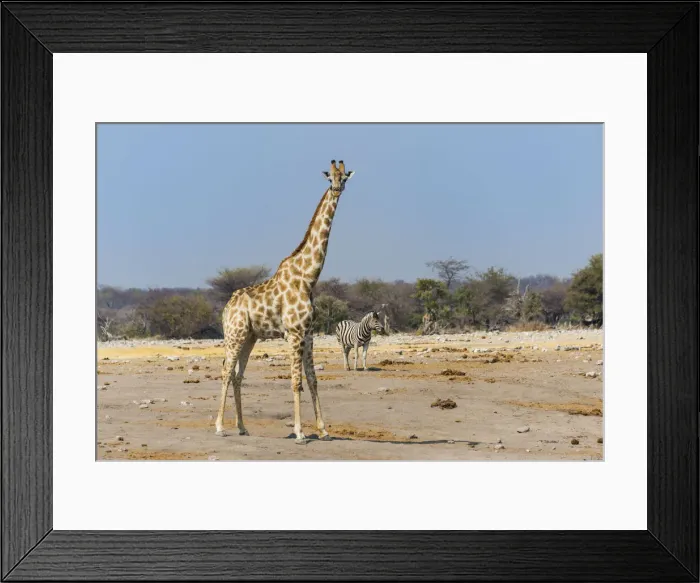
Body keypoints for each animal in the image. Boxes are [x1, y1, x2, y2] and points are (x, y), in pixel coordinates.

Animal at [215, 160, 354, 444]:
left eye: (344, 177)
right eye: (329, 178)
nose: (337, 189)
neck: (309, 277)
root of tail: (227, 307)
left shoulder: (308, 334)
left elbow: (312, 379)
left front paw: (324, 430)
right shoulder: (294, 333)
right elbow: (295, 381)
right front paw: (300, 432)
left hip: (249, 337)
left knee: (237, 375)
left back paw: (242, 427)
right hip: (234, 335)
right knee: (225, 371)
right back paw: (220, 427)